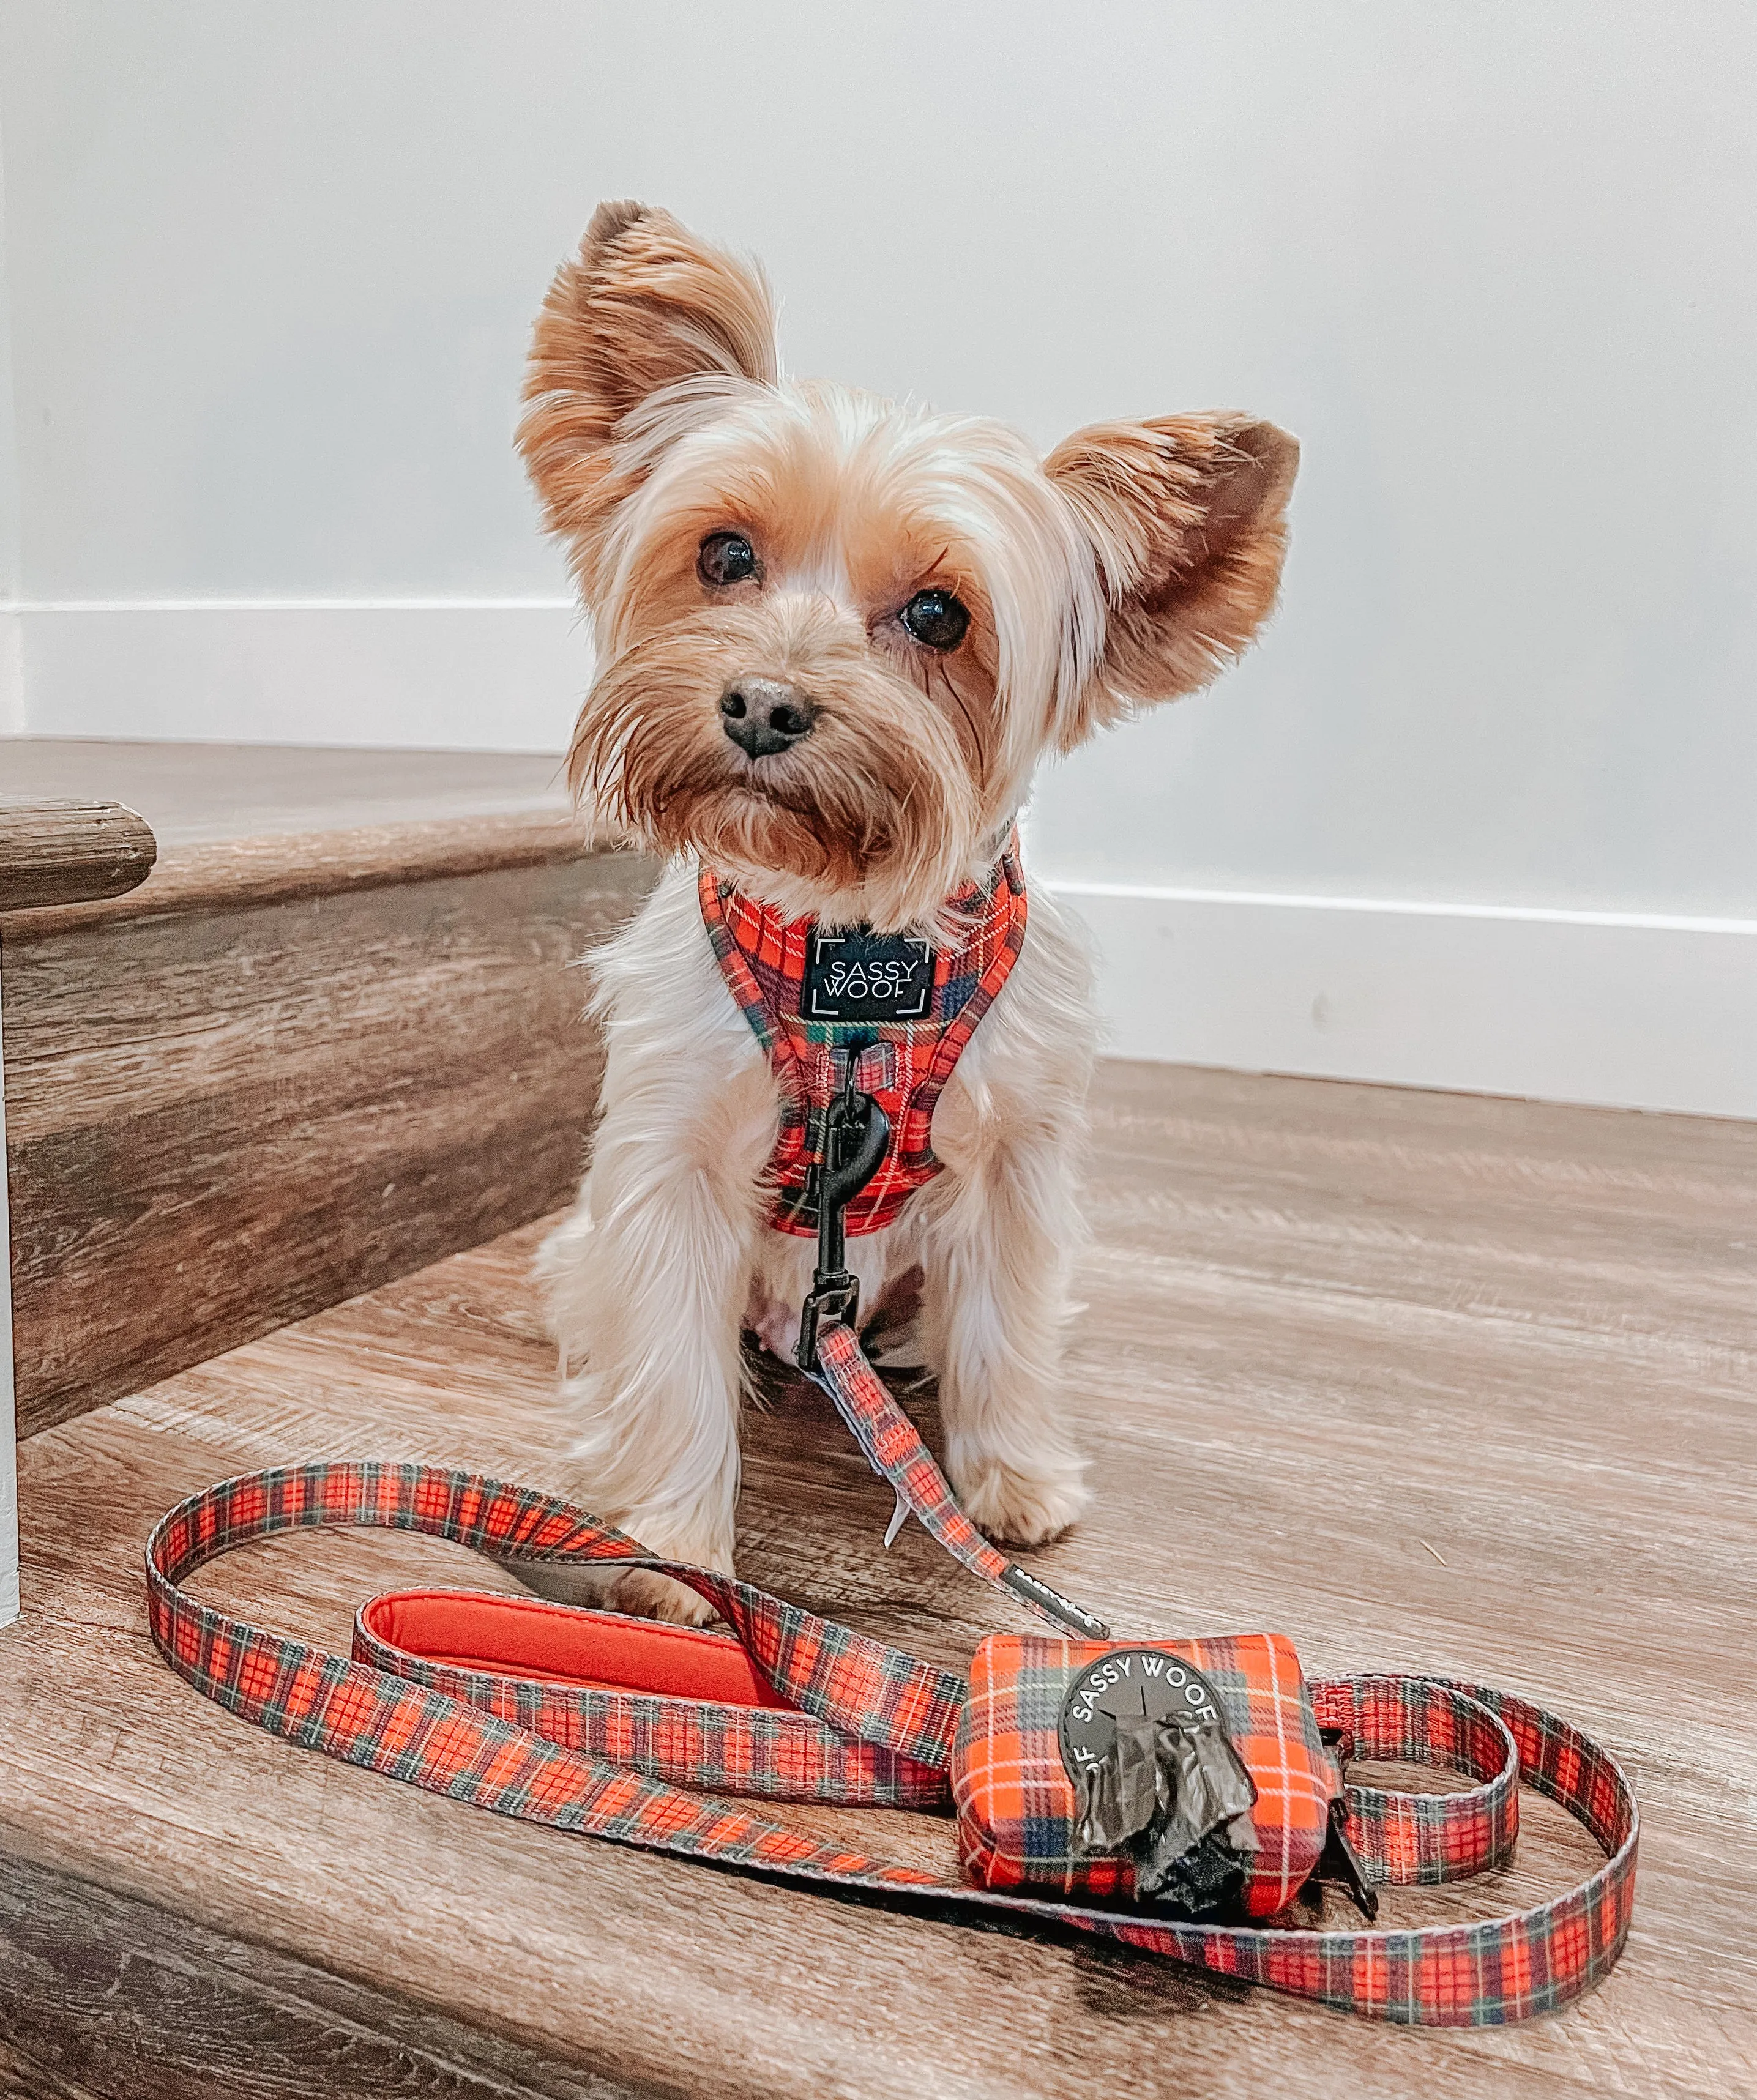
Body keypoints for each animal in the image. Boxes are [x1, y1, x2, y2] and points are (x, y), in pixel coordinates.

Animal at [514, 200, 1293, 1621]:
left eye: (939, 614)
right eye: (723, 554)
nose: (763, 705)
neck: (847, 951)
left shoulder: (1016, 1163)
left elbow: (1004, 1332)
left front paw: (1014, 1483)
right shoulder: (667, 1163)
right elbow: (667, 1360)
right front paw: (673, 1552)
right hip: (590, 1247)